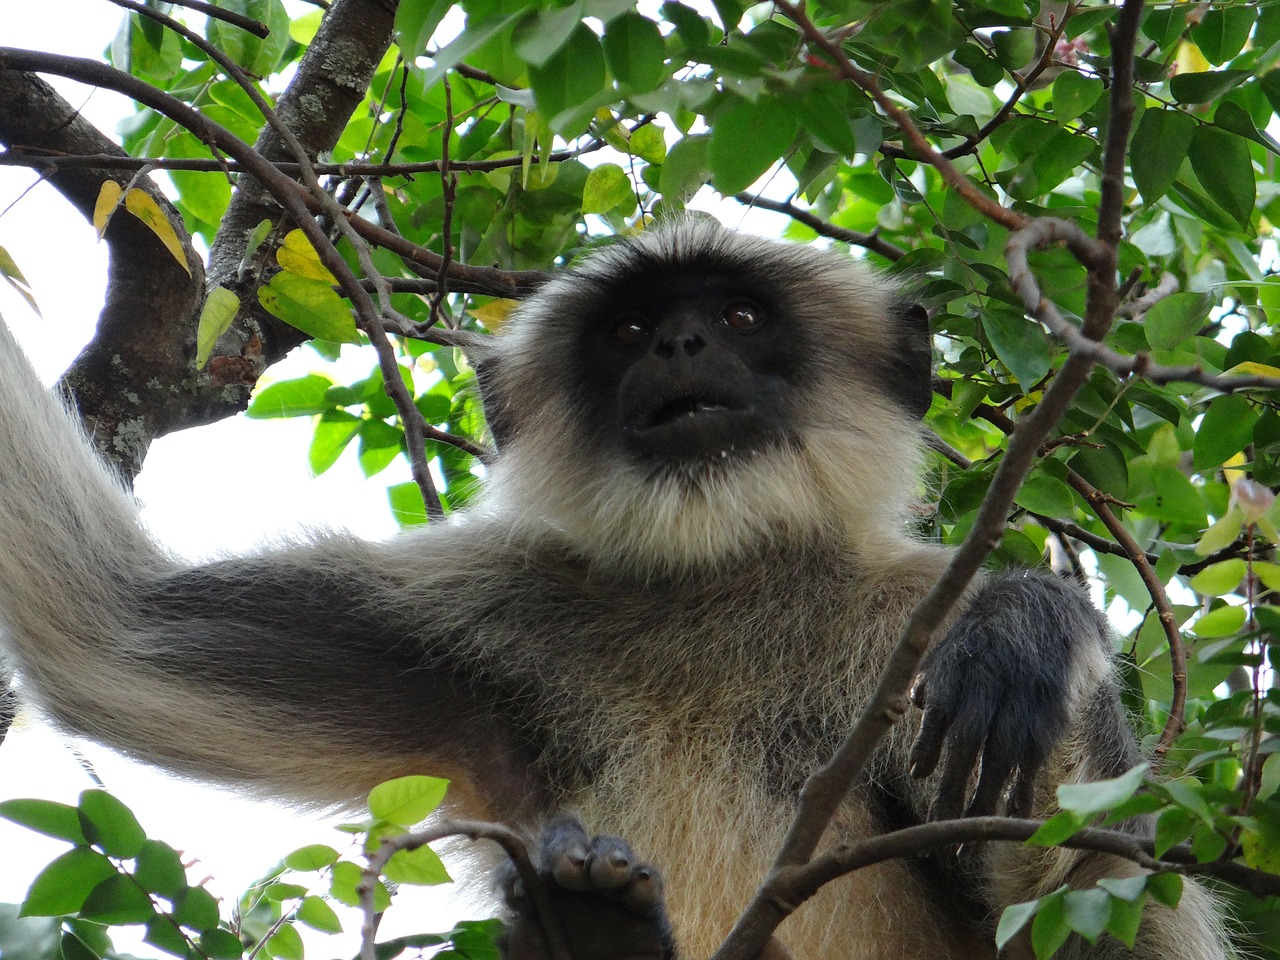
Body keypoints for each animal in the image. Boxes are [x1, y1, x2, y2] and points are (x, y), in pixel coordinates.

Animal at [0, 220, 1228, 960]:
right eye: (632, 329)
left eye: (737, 318)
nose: (679, 344)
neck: (714, 583)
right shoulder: (474, 614)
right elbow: (104, 632)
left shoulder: (908, 613)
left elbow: (1100, 923)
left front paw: (1028, 629)